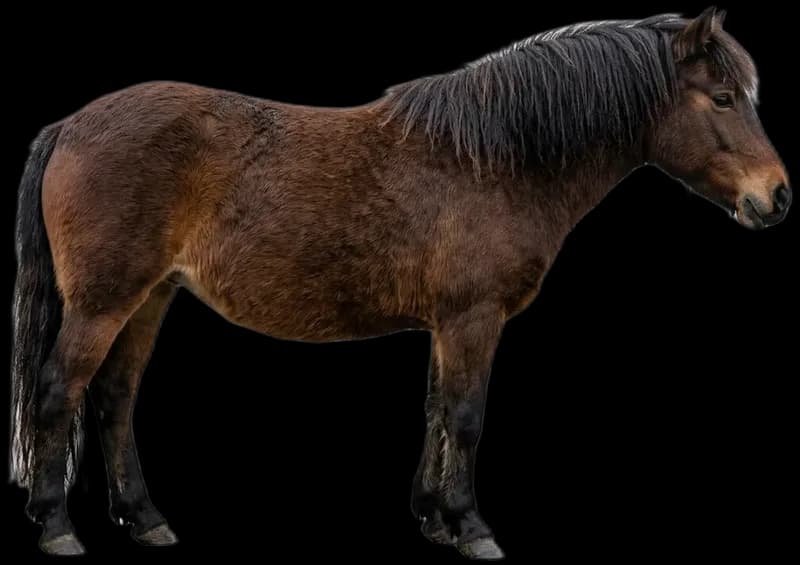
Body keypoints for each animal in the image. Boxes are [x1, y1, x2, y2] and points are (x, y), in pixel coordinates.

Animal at [9, 7, 790, 559]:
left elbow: (437, 410)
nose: (777, 196)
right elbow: (467, 416)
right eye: (723, 97)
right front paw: (471, 527)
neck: (494, 159)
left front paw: (433, 518)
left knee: (113, 399)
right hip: (102, 301)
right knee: (59, 391)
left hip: (150, 296)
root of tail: (69, 125)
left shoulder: (447, 323)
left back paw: (146, 520)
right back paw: (57, 526)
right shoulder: (474, 318)